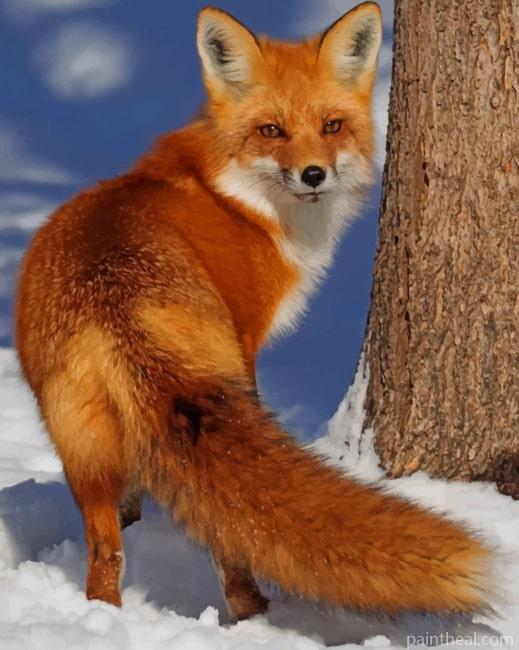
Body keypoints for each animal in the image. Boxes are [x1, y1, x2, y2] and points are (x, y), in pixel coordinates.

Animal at [14, 2, 495, 622]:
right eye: (271, 130)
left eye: (332, 126)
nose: (314, 174)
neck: (234, 196)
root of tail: (116, 301)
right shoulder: (247, 340)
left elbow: (133, 501)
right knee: (226, 535)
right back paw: (253, 613)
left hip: (81, 447)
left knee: (104, 555)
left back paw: (105, 618)